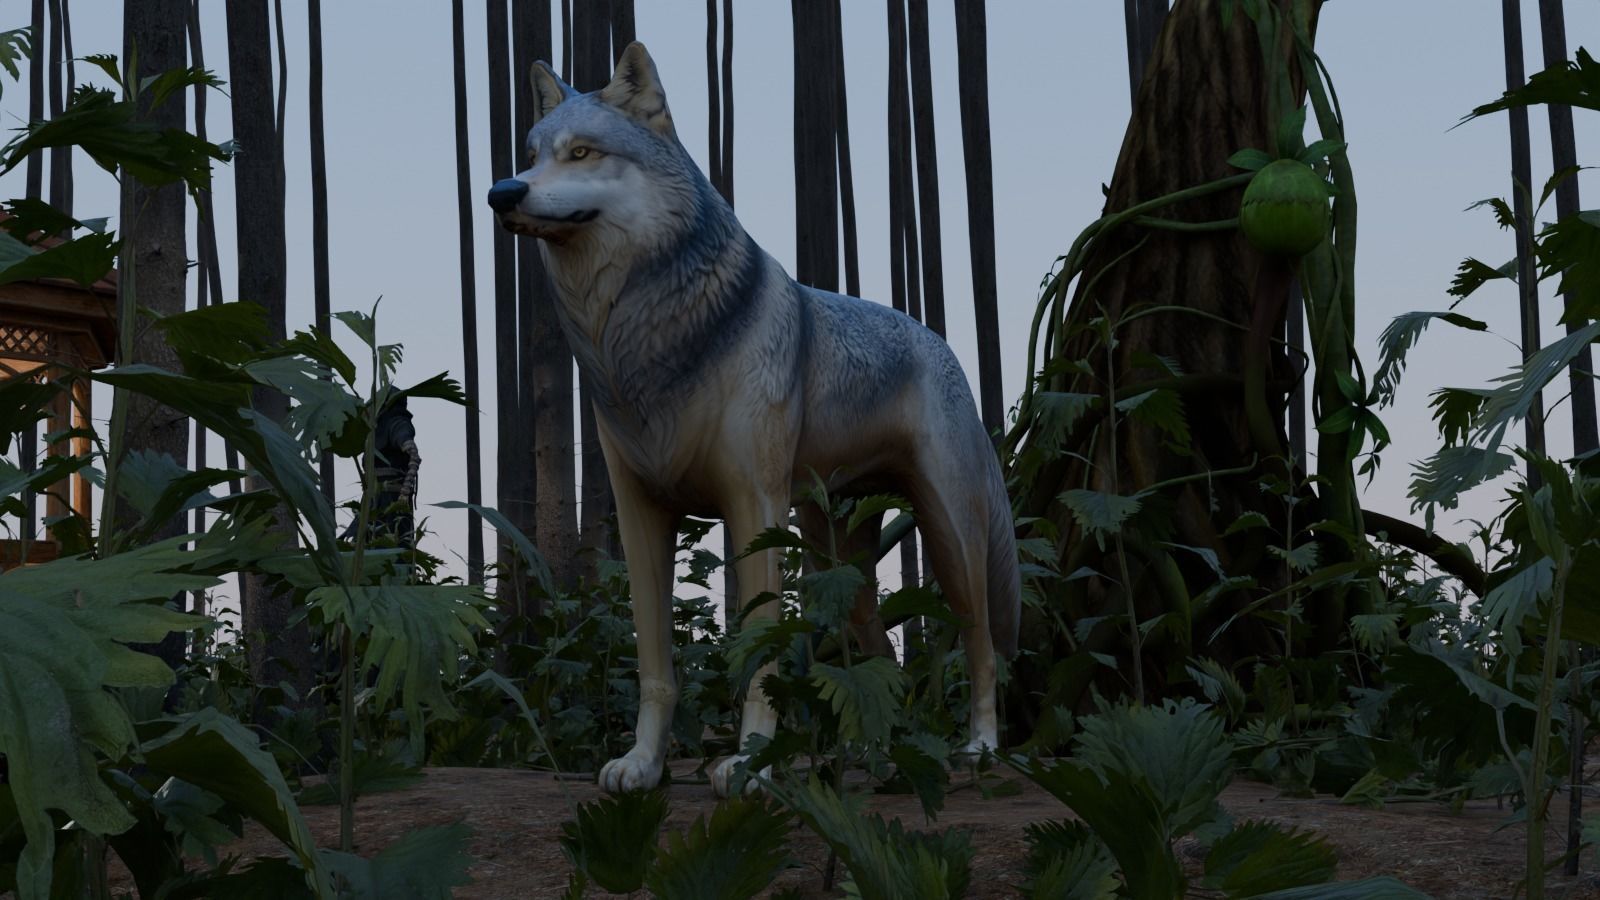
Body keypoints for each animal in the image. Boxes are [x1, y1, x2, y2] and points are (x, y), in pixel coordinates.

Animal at [487, 42, 1019, 797]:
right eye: (531, 155)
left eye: (583, 152)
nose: (502, 193)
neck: (640, 337)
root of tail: (938, 341)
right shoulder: (640, 513)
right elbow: (655, 667)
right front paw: (643, 764)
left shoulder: (752, 508)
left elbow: (758, 653)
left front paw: (749, 763)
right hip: (836, 558)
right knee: (879, 656)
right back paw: (875, 759)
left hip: (950, 542)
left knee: (980, 645)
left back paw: (978, 748)